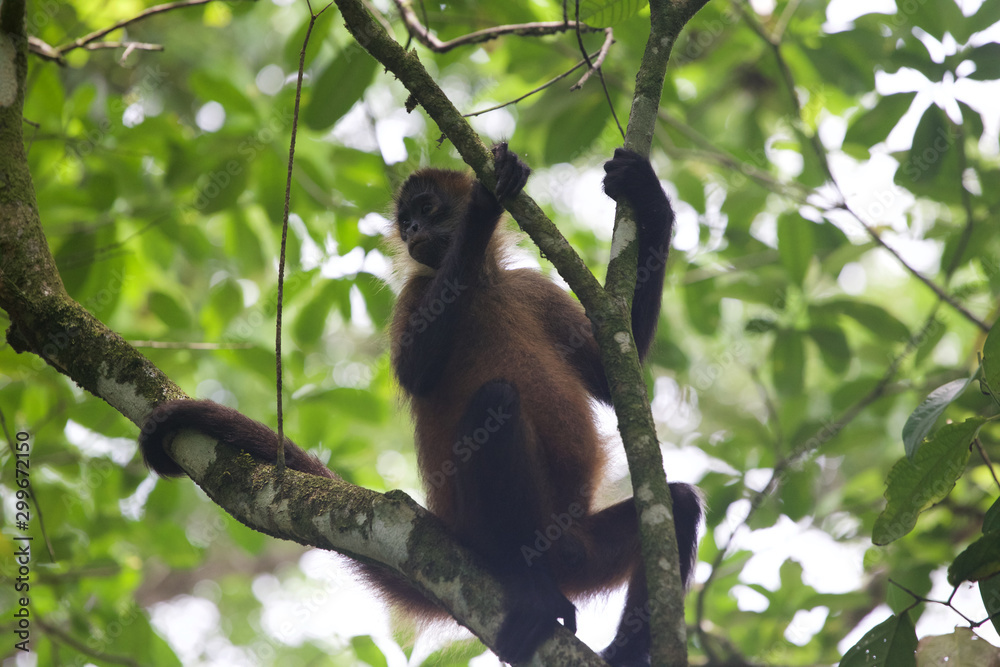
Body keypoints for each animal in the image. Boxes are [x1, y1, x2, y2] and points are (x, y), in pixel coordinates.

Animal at [139, 143, 701, 667]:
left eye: (427, 209)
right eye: (406, 220)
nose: (412, 231)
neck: (481, 280)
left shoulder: (529, 286)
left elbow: (614, 373)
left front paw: (649, 196)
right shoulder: (417, 289)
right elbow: (417, 373)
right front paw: (482, 210)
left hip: (583, 551)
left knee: (677, 505)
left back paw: (619, 649)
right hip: (486, 528)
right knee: (497, 403)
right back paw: (530, 587)